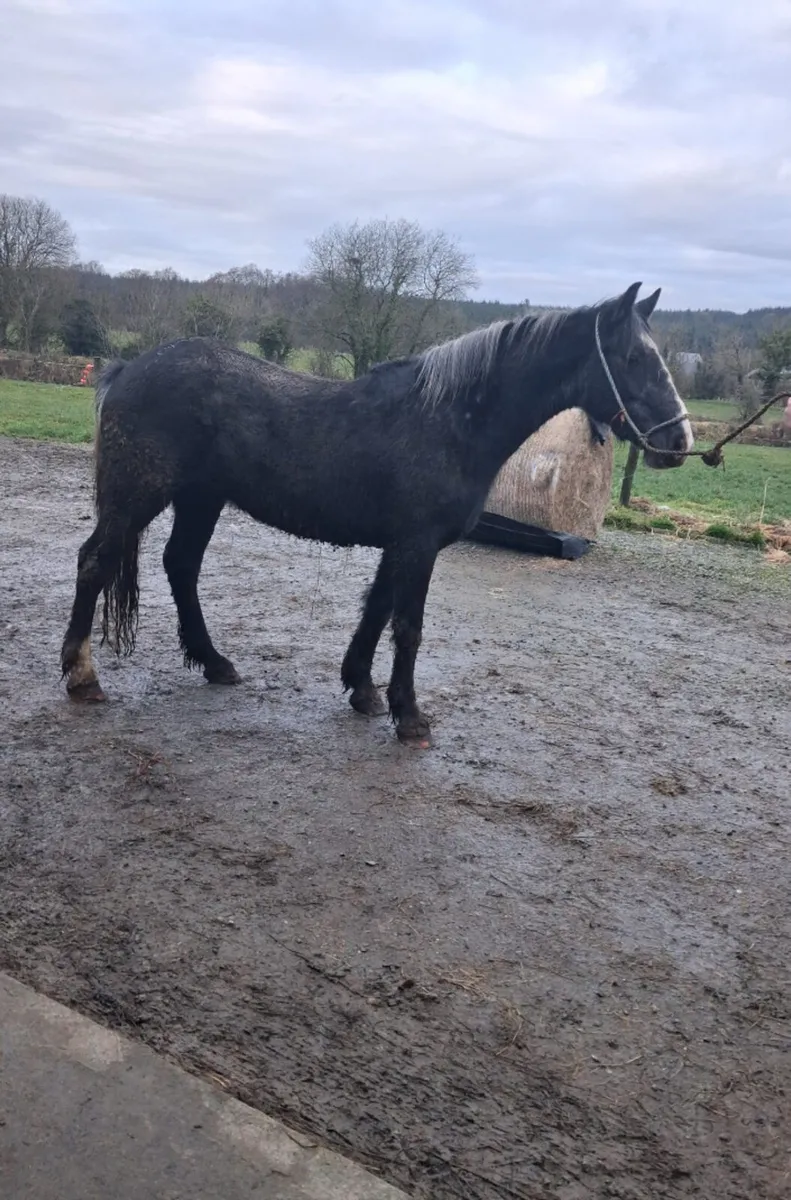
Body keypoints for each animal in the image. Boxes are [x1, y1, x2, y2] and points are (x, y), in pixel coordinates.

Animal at [60, 281, 692, 747]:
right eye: (633, 357)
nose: (678, 442)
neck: (451, 418)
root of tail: (128, 369)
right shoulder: (417, 543)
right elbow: (407, 626)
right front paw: (408, 715)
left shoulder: (403, 543)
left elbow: (376, 610)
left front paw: (361, 690)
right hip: (138, 497)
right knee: (95, 562)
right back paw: (83, 676)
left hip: (200, 499)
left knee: (181, 566)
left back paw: (214, 663)